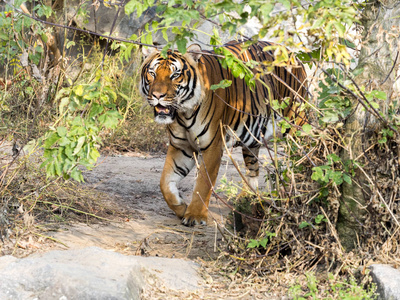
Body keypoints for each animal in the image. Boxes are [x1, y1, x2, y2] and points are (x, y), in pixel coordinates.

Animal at [139, 41, 308, 226]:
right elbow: (164, 182)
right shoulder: (181, 146)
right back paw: (246, 198)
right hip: (252, 138)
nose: (157, 95)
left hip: (296, 125)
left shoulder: (212, 146)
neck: (183, 114)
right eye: (152, 73)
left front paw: (195, 216)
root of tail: (293, 54)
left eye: (175, 75)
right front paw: (182, 207)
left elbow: (203, 183)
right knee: (253, 168)